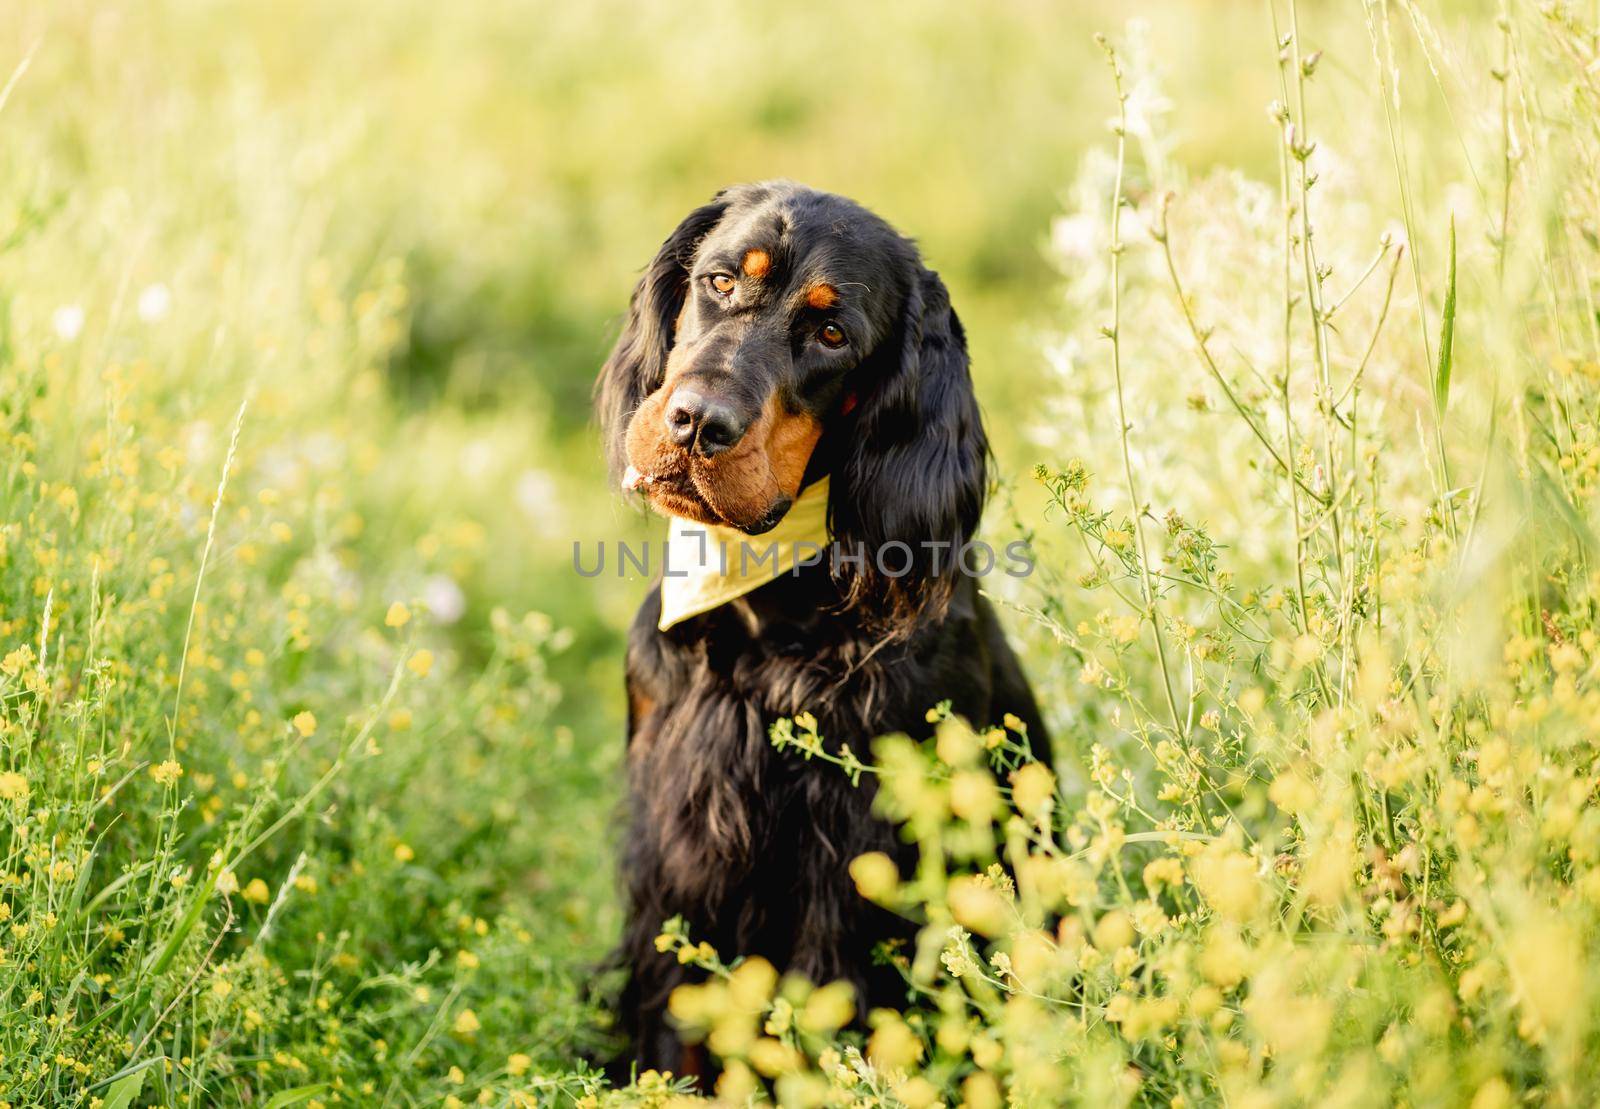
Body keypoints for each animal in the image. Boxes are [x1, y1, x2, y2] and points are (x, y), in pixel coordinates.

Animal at [595, 181, 1043, 1075]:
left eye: (833, 334)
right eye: (720, 280)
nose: (696, 422)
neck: (766, 605)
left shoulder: (856, 865)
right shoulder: (676, 840)